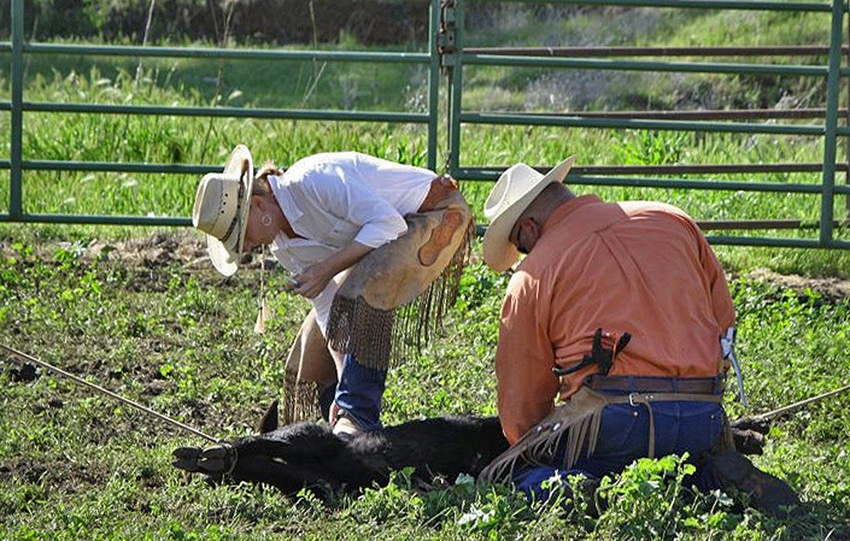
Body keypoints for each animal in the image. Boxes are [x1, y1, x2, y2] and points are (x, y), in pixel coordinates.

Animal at [170, 400, 506, 498]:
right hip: (312, 441)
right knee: (262, 447)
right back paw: (209, 457)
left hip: (315, 469)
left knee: (261, 462)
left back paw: (209, 461)